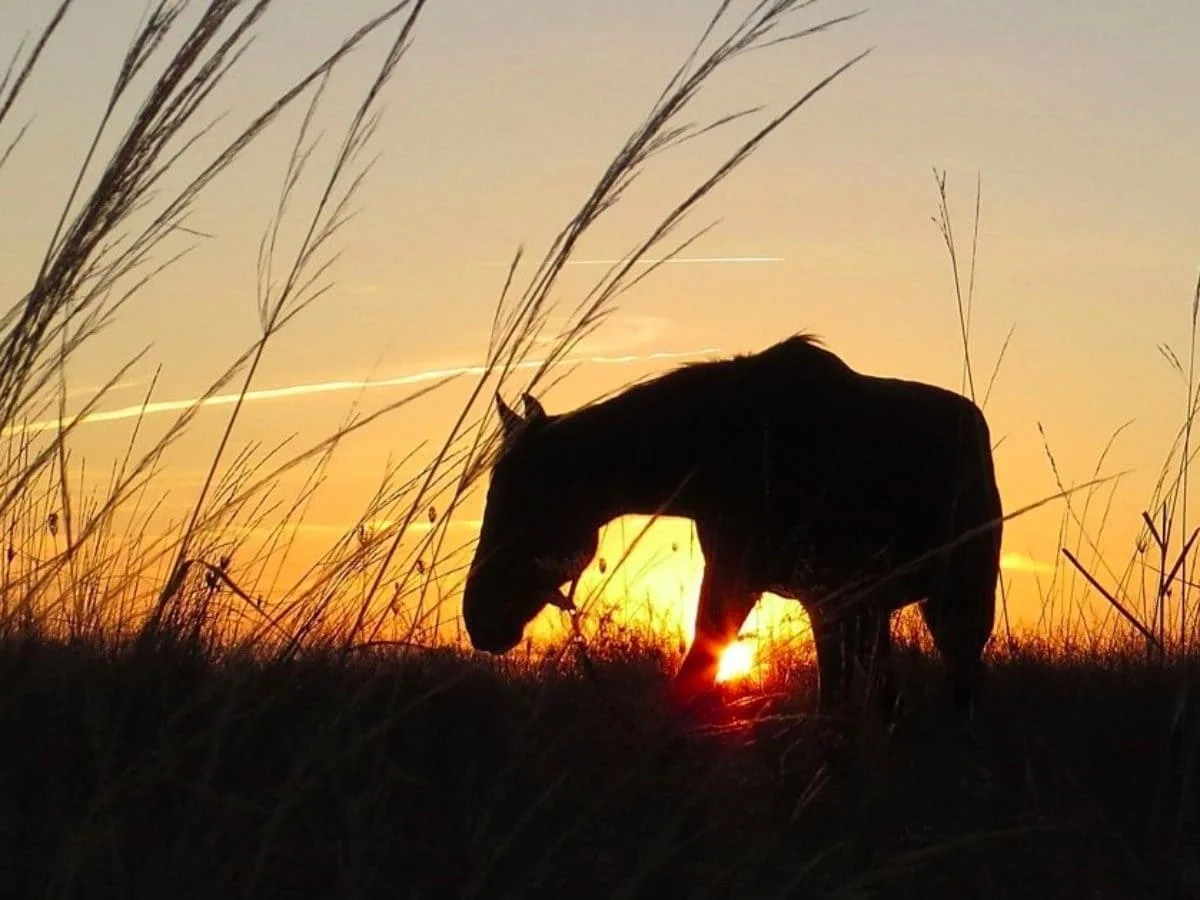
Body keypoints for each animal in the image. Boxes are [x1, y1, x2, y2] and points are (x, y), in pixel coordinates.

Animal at [458, 336, 1003, 724]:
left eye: (526, 502)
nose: (480, 618)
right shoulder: (771, 586)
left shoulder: (804, 590)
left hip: (956, 599)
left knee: (961, 681)